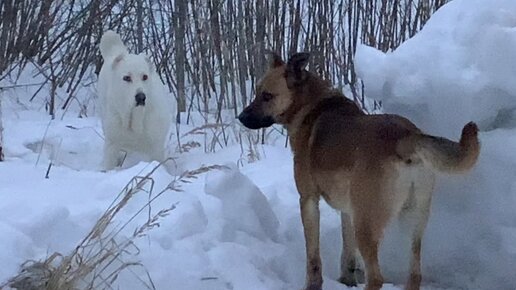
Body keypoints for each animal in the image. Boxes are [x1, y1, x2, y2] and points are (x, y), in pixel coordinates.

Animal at [97, 30, 175, 170]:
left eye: (145, 77)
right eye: (127, 78)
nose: (141, 97)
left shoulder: (157, 146)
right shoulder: (112, 144)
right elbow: (108, 164)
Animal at [238, 52, 480, 290]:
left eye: (267, 96)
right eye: (257, 92)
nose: (240, 117)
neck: (311, 107)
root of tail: (405, 137)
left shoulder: (308, 200)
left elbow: (313, 258)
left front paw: (314, 285)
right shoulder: (348, 210)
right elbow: (347, 253)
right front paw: (347, 280)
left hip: (367, 224)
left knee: (376, 278)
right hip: (412, 220)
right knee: (414, 275)